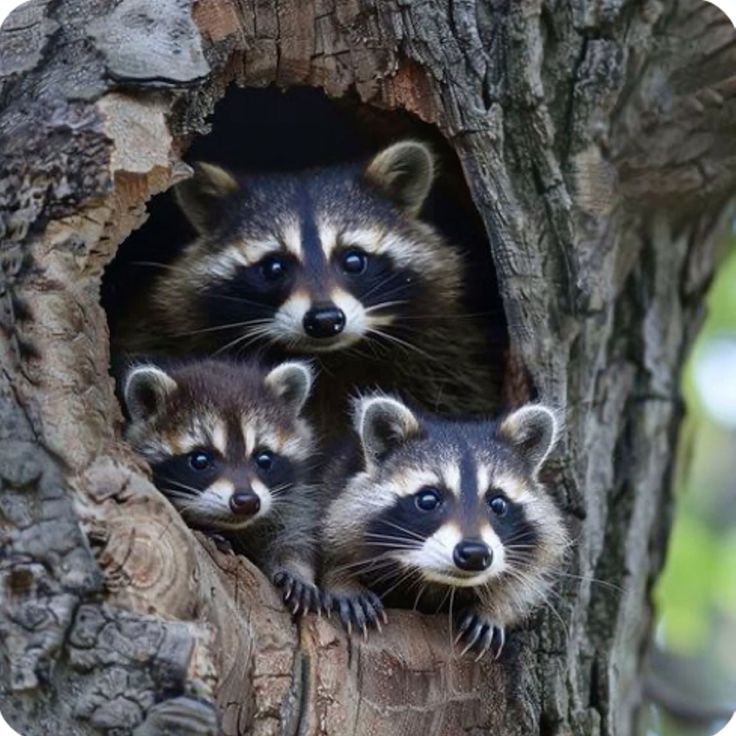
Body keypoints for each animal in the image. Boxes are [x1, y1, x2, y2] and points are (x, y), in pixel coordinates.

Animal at [122, 357, 322, 614]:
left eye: (264, 459)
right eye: (200, 460)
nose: (246, 502)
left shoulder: (291, 498)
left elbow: (293, 530)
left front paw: (295, 569)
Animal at [319, 395, 568, 658]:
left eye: (498, 503)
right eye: (428, 500)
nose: (475, 553)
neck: (436, 582)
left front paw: (496, 607)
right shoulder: (332, 480)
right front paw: (341, 580)